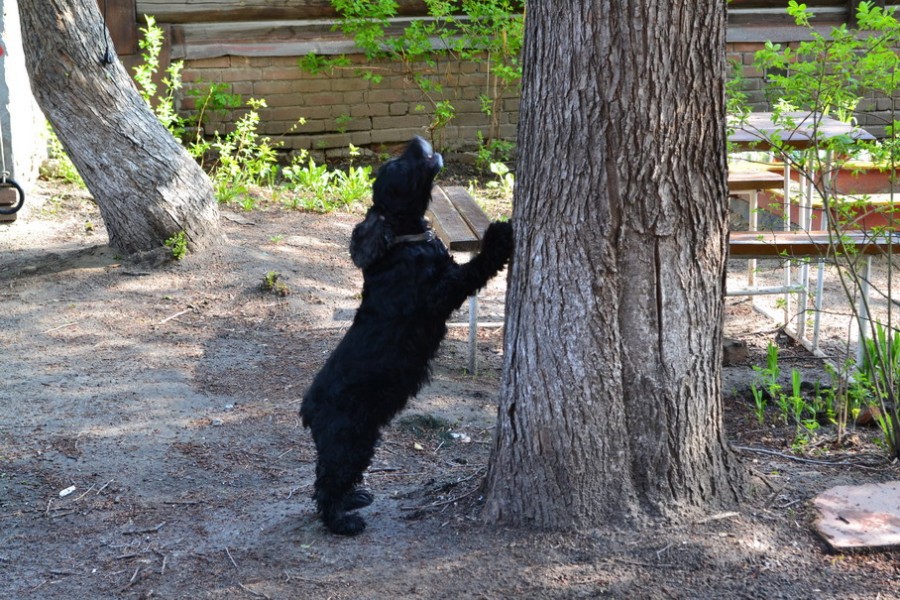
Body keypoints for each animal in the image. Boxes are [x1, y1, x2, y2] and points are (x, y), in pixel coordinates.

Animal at [300, 136, 512, 536]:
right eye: (397, 168)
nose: (416, 140)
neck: (404, 241)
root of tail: (309, 410)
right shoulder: (440, 293)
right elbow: (473, 270)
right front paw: (500, 235)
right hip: (348, 440)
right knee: (325, 484)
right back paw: (342, 521)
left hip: (364, 439)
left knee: (342, 477)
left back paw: (355, 498)